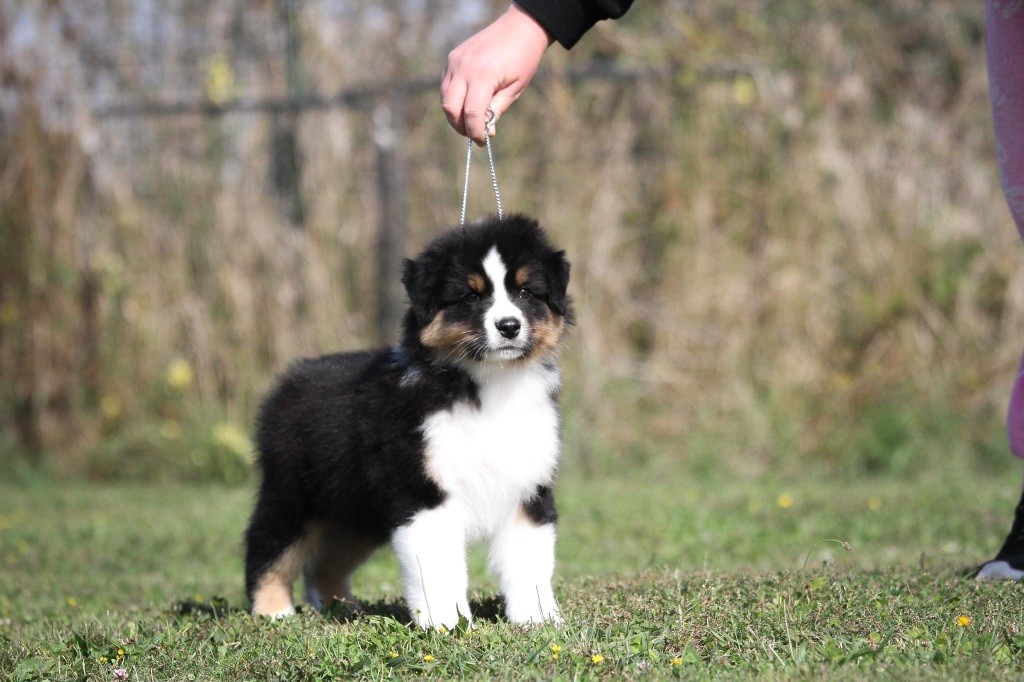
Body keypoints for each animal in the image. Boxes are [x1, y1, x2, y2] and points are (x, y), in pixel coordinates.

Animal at [244, 214, 572, 628]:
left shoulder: (528, 487)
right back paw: (273, 612)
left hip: (357, 512)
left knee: (325, 562)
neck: (488, 383)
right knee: (267, 545)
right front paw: (447, 623)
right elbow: (437, 565)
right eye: (471, 296)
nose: (509, 326)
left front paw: (538, 619)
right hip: (295, 493)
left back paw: (342, 608)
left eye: (527, 291)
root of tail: (286, 384)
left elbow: (529, 560)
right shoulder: (422, 491)